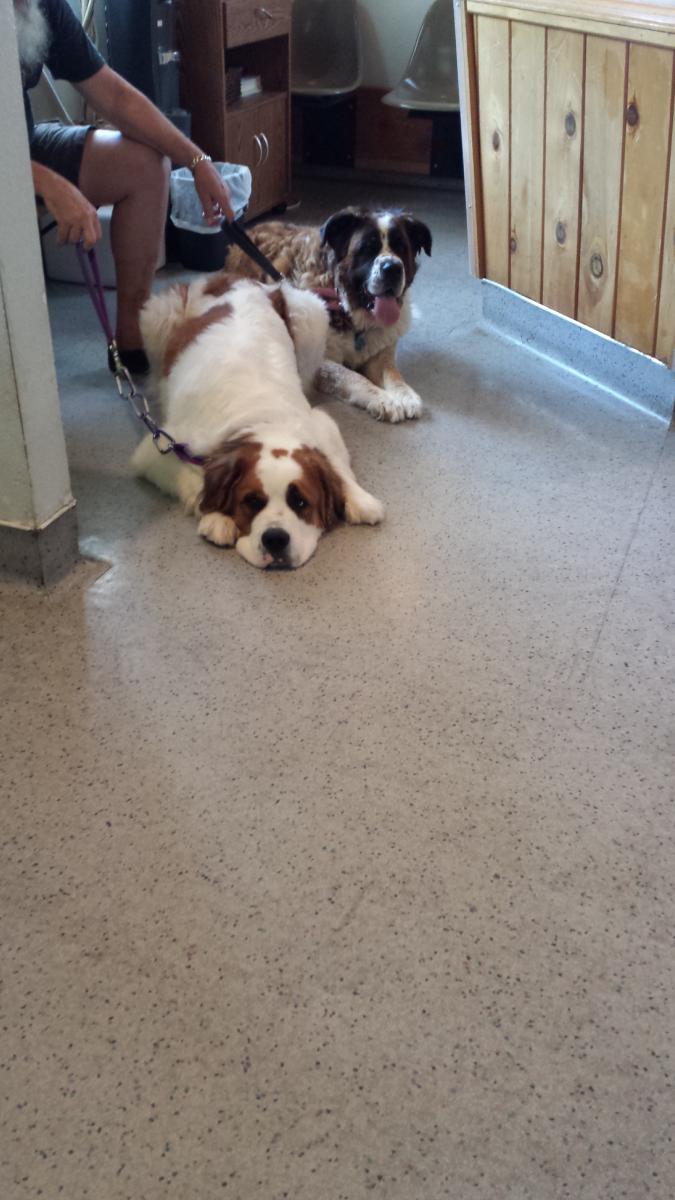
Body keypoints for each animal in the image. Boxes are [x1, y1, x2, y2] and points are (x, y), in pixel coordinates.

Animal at [131, 273, 384, 569]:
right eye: (251, 502)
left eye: (300, 503)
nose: (275, 538)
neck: (264, 421)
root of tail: (235, 280)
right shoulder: (157, 449)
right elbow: (195, 481)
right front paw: (217, 517)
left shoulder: (322, 425)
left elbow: (335, 463)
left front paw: (360, 499)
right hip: (157, 317)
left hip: (313, 317)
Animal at [224, 207, 432, 424]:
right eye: (367, 248)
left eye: (401, 248)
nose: (392, 267)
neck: (347, 307)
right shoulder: (318, 362)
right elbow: (351, 376)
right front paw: (384, 399)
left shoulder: (380, 353)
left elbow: (392, 373)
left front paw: (406, 395)